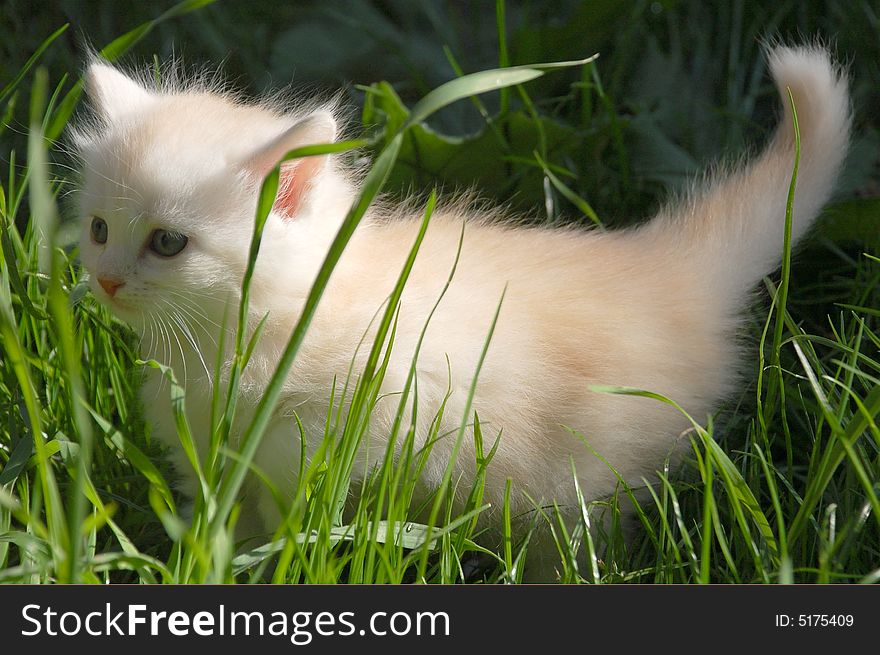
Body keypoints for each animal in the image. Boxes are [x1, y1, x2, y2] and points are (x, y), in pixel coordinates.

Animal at [75, 44, 852, 580]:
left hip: (575, 484)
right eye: (99, 230)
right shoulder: (217, 465)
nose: (106, 282)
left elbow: (297, 531)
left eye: (168, 243)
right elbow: (230, 532)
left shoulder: (326, 450)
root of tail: (666, 272)